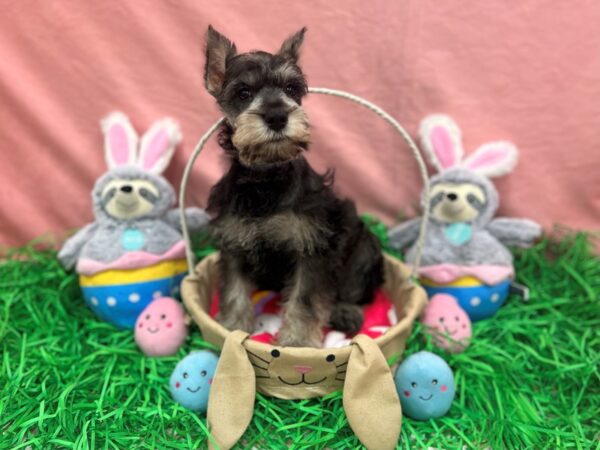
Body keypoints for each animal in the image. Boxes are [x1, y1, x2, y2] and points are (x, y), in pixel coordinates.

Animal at [203, 25, 384, 348]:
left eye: (291, 89)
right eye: (243, 93)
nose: (277, 116)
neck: (266, 181)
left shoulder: (312, 248)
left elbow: (305, 298)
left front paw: (297, 341)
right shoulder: (234, 243)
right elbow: (234, 290)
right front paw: (231, 327)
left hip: (365, 249)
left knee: (354, 290)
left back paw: (346, 312)